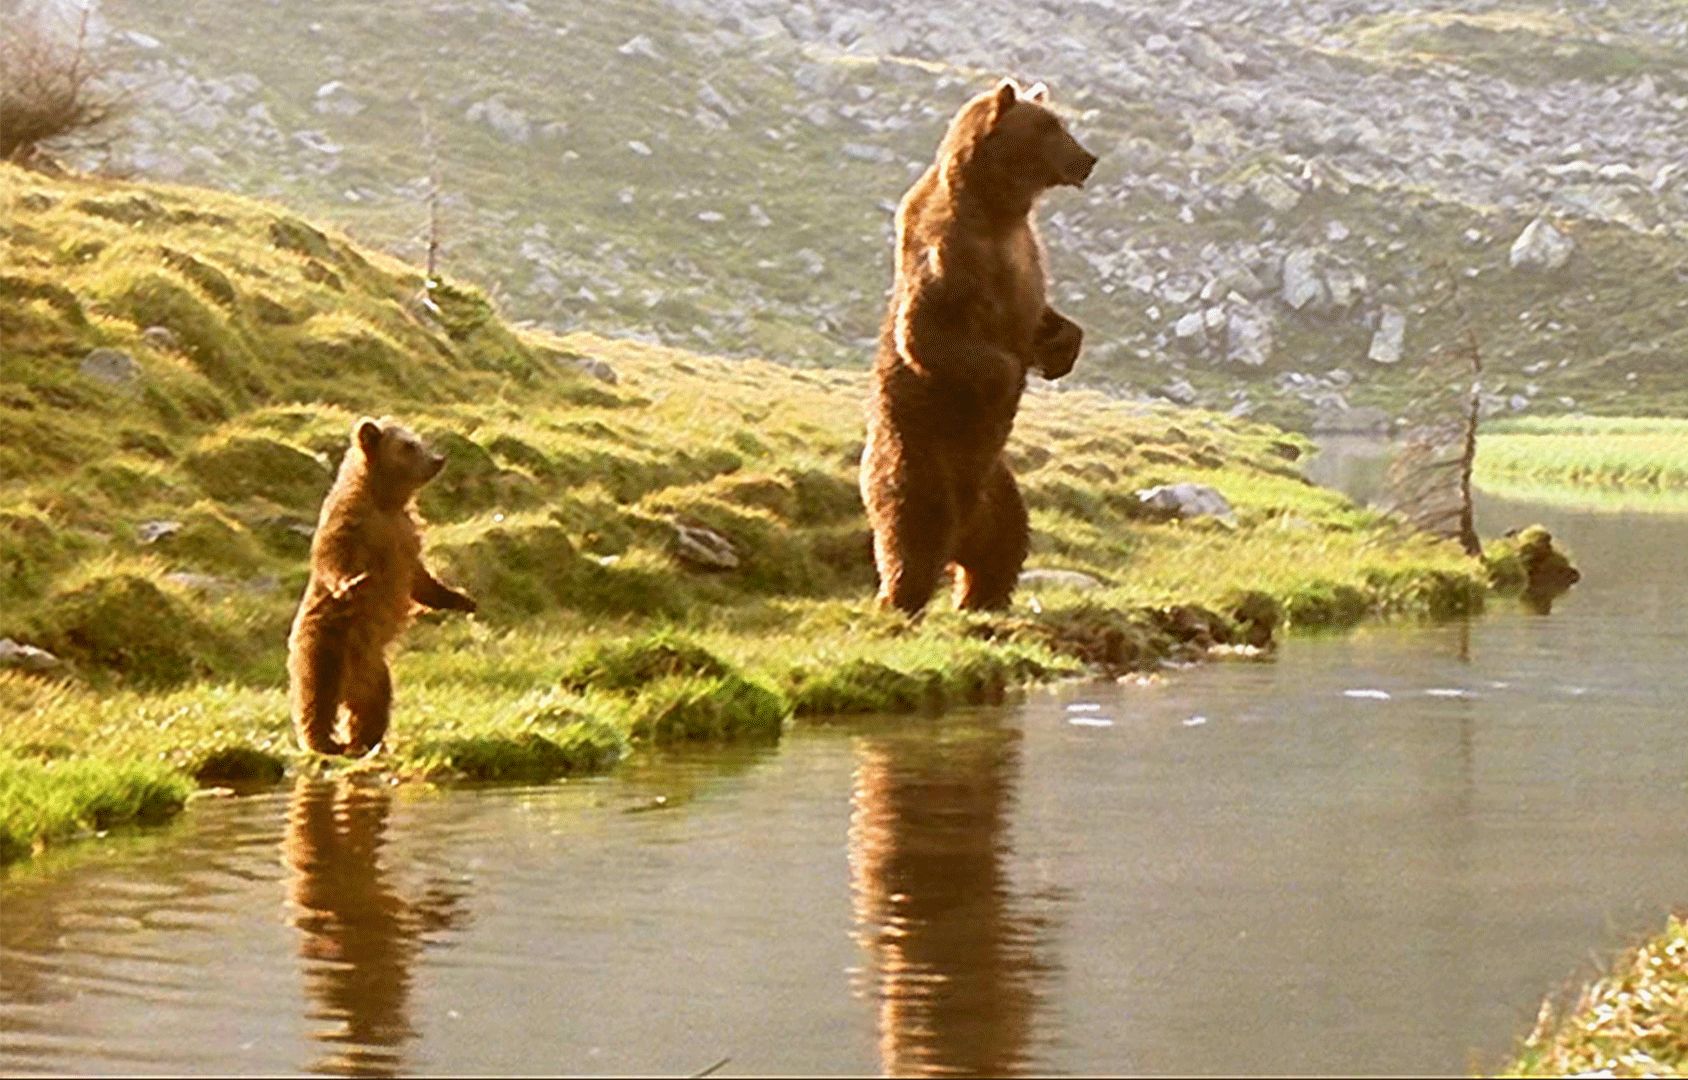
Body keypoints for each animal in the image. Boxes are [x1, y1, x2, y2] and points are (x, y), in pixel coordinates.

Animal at [287, 416, 476, 756]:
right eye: (408, 445)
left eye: (419, 440)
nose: (438, 459)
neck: (385, 502)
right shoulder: (350, 524)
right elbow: (334, 557)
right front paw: (352, 583)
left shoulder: (405, 536)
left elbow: (421, 581)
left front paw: (461, 599)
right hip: (325, 642)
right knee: (316, 693)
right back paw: (323, 741)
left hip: (375, 670)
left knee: (372, 704)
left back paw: (363, 740)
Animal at [859, 78, 1097, 615]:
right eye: (1049, 128)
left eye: (1061, 123)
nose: (1089, 158)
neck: (996, 208)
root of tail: (960, 537)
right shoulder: (950, 255)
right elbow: (925, 333)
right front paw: (1008, 376)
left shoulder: (1025, 254)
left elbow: (1042, 316)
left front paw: (1063, 348)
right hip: (920, 470)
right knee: (910, 543)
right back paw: (898, 601)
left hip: (999, 489)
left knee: (1005, 544)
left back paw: (982, 596)